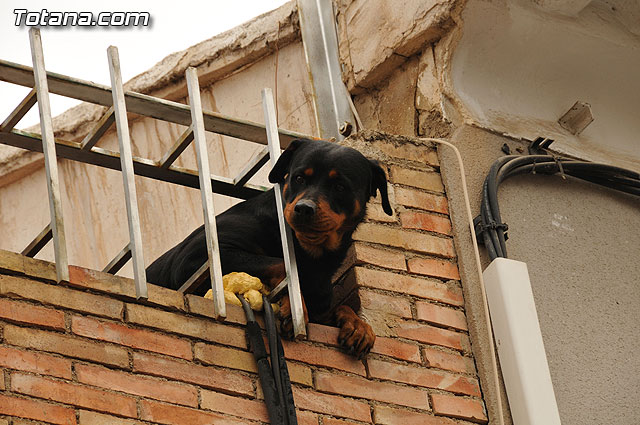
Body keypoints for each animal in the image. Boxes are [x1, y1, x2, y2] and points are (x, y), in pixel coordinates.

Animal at [147, 137, 392, 356]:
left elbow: (339, 308)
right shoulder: (194, 259)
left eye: (340, 186)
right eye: (299, 178)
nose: (304, 208)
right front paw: (293, 305)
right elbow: (281, 264)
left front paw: (358, 325)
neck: (309, 250)